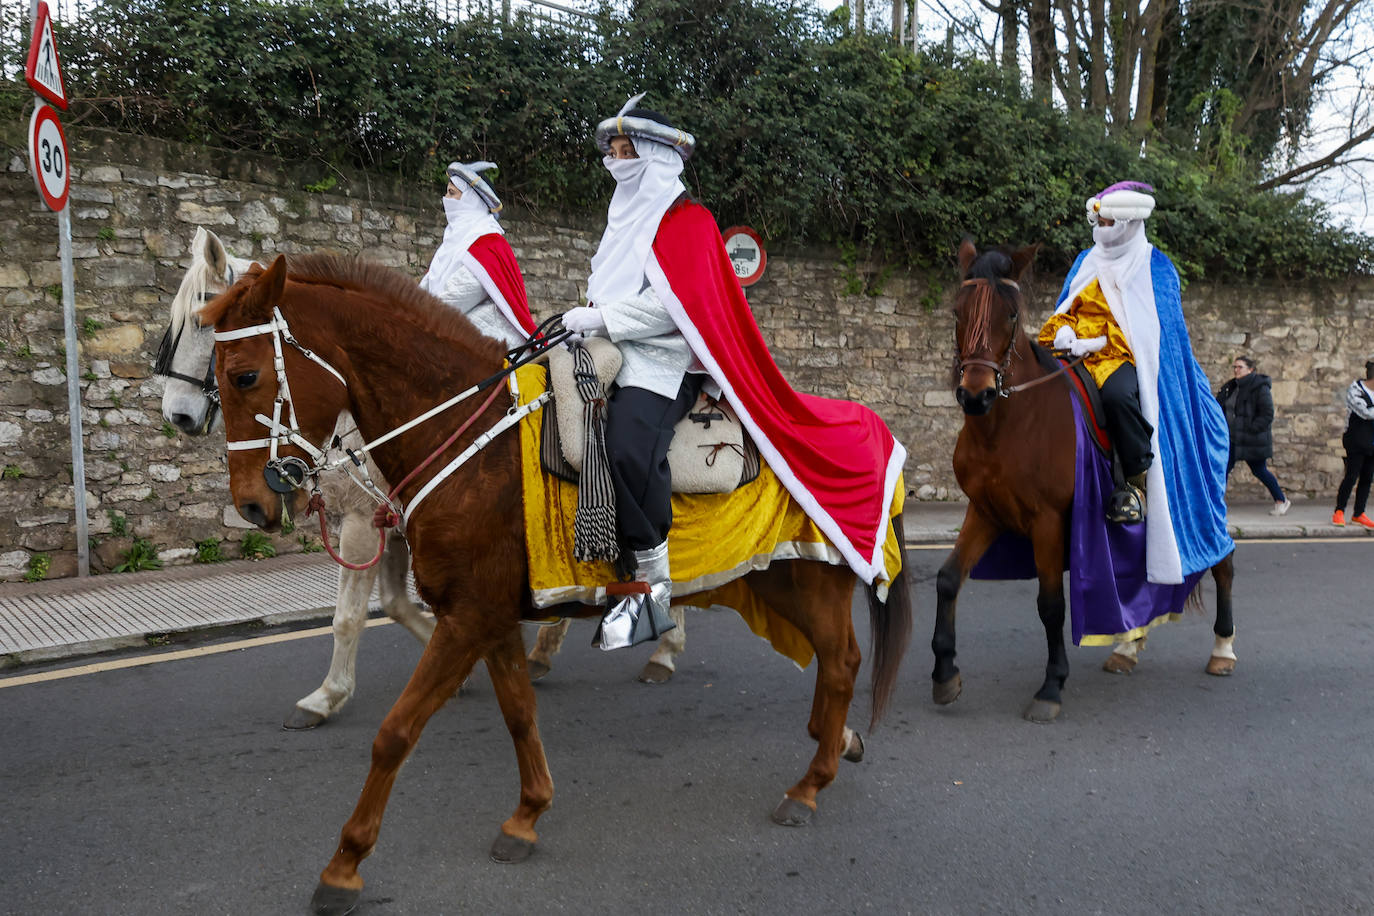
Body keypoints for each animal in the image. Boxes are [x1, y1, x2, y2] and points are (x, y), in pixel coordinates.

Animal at [203, 252, 912, 916]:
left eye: (244, 375)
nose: (252, 506)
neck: (471, 444)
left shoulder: (467, 618)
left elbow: (395, 733)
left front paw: (344, 866)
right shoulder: (486, 614)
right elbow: (519, 713)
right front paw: (527, 816)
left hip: (815, 578)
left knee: (842, 664)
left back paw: (809, 785)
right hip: (776, 580)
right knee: (830, 662)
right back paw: (836, 741)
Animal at [934, 241, 1236, 725]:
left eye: (1012, 315)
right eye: (957, 311)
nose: (976, 395)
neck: (1009, 425)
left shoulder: (1048, 521)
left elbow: (1051, 604)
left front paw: (1051, 687)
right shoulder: (986, 512)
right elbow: (947, 580)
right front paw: (945, 674)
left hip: (1207, 504)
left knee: (1223, 563)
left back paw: (1222, 650)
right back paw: (1128, 650)